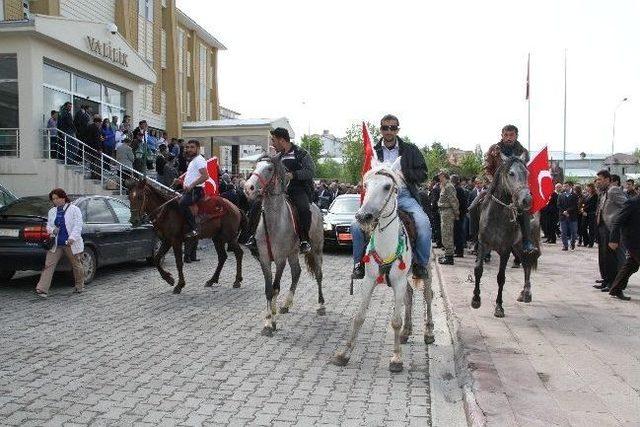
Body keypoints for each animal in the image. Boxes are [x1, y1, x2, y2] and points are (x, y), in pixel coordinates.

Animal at [244, 155, 324, 338]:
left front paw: (272, 322)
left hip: (316, 249)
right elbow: (268, 289)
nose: (248, 188)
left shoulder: (280, 259)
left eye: (269, 169)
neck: (274, 222)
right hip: (293, 253)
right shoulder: (265, 259)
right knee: (296, 272)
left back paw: (321, 305)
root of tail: (316, 206)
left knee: (318, 274)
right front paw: (268, 321)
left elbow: (275, 288)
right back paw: (286, 304)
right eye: (255, 166)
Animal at [332, 159, 432, 372]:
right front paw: (344, 354)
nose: (363, 216)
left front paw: (396, 359)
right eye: (365, 185)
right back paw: (406, 332)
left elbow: (395, 320)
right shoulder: (369, 281)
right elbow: (359, 316)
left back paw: (429, 333)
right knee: (409, 296)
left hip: (426, 269)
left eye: (387, 186)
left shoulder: (398, 282)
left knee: (428, 296)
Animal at [470, 154, 540, 318]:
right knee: (525, 264)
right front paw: (475, 300)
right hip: (517, 247)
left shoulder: (505, 250)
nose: (526, 200)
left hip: (521, 245)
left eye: (527, 174)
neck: (497, 215)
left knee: (527, 265)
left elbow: (501, 277)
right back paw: (523, 293)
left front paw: (499, 307)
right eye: (511, 173)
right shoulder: (483, 244)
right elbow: (478, 270)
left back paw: (527, 293)